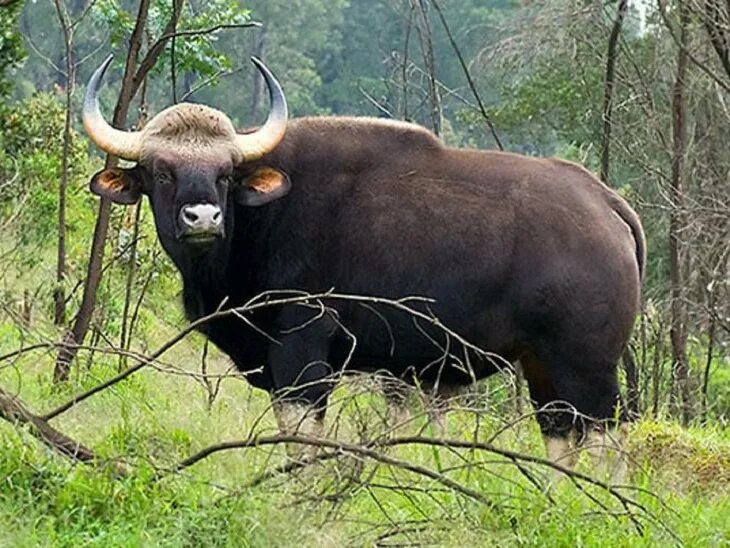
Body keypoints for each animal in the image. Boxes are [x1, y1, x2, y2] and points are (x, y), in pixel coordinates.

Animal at [82, 55, 644, 480]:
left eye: (225, 173)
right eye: (161, 171)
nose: (203, 217)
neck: (257, 223)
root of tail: (607, 203)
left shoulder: (303, 352)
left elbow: (302, 441)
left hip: (586, 366)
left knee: (608, 442)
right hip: (543, 365)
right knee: (562, 437)